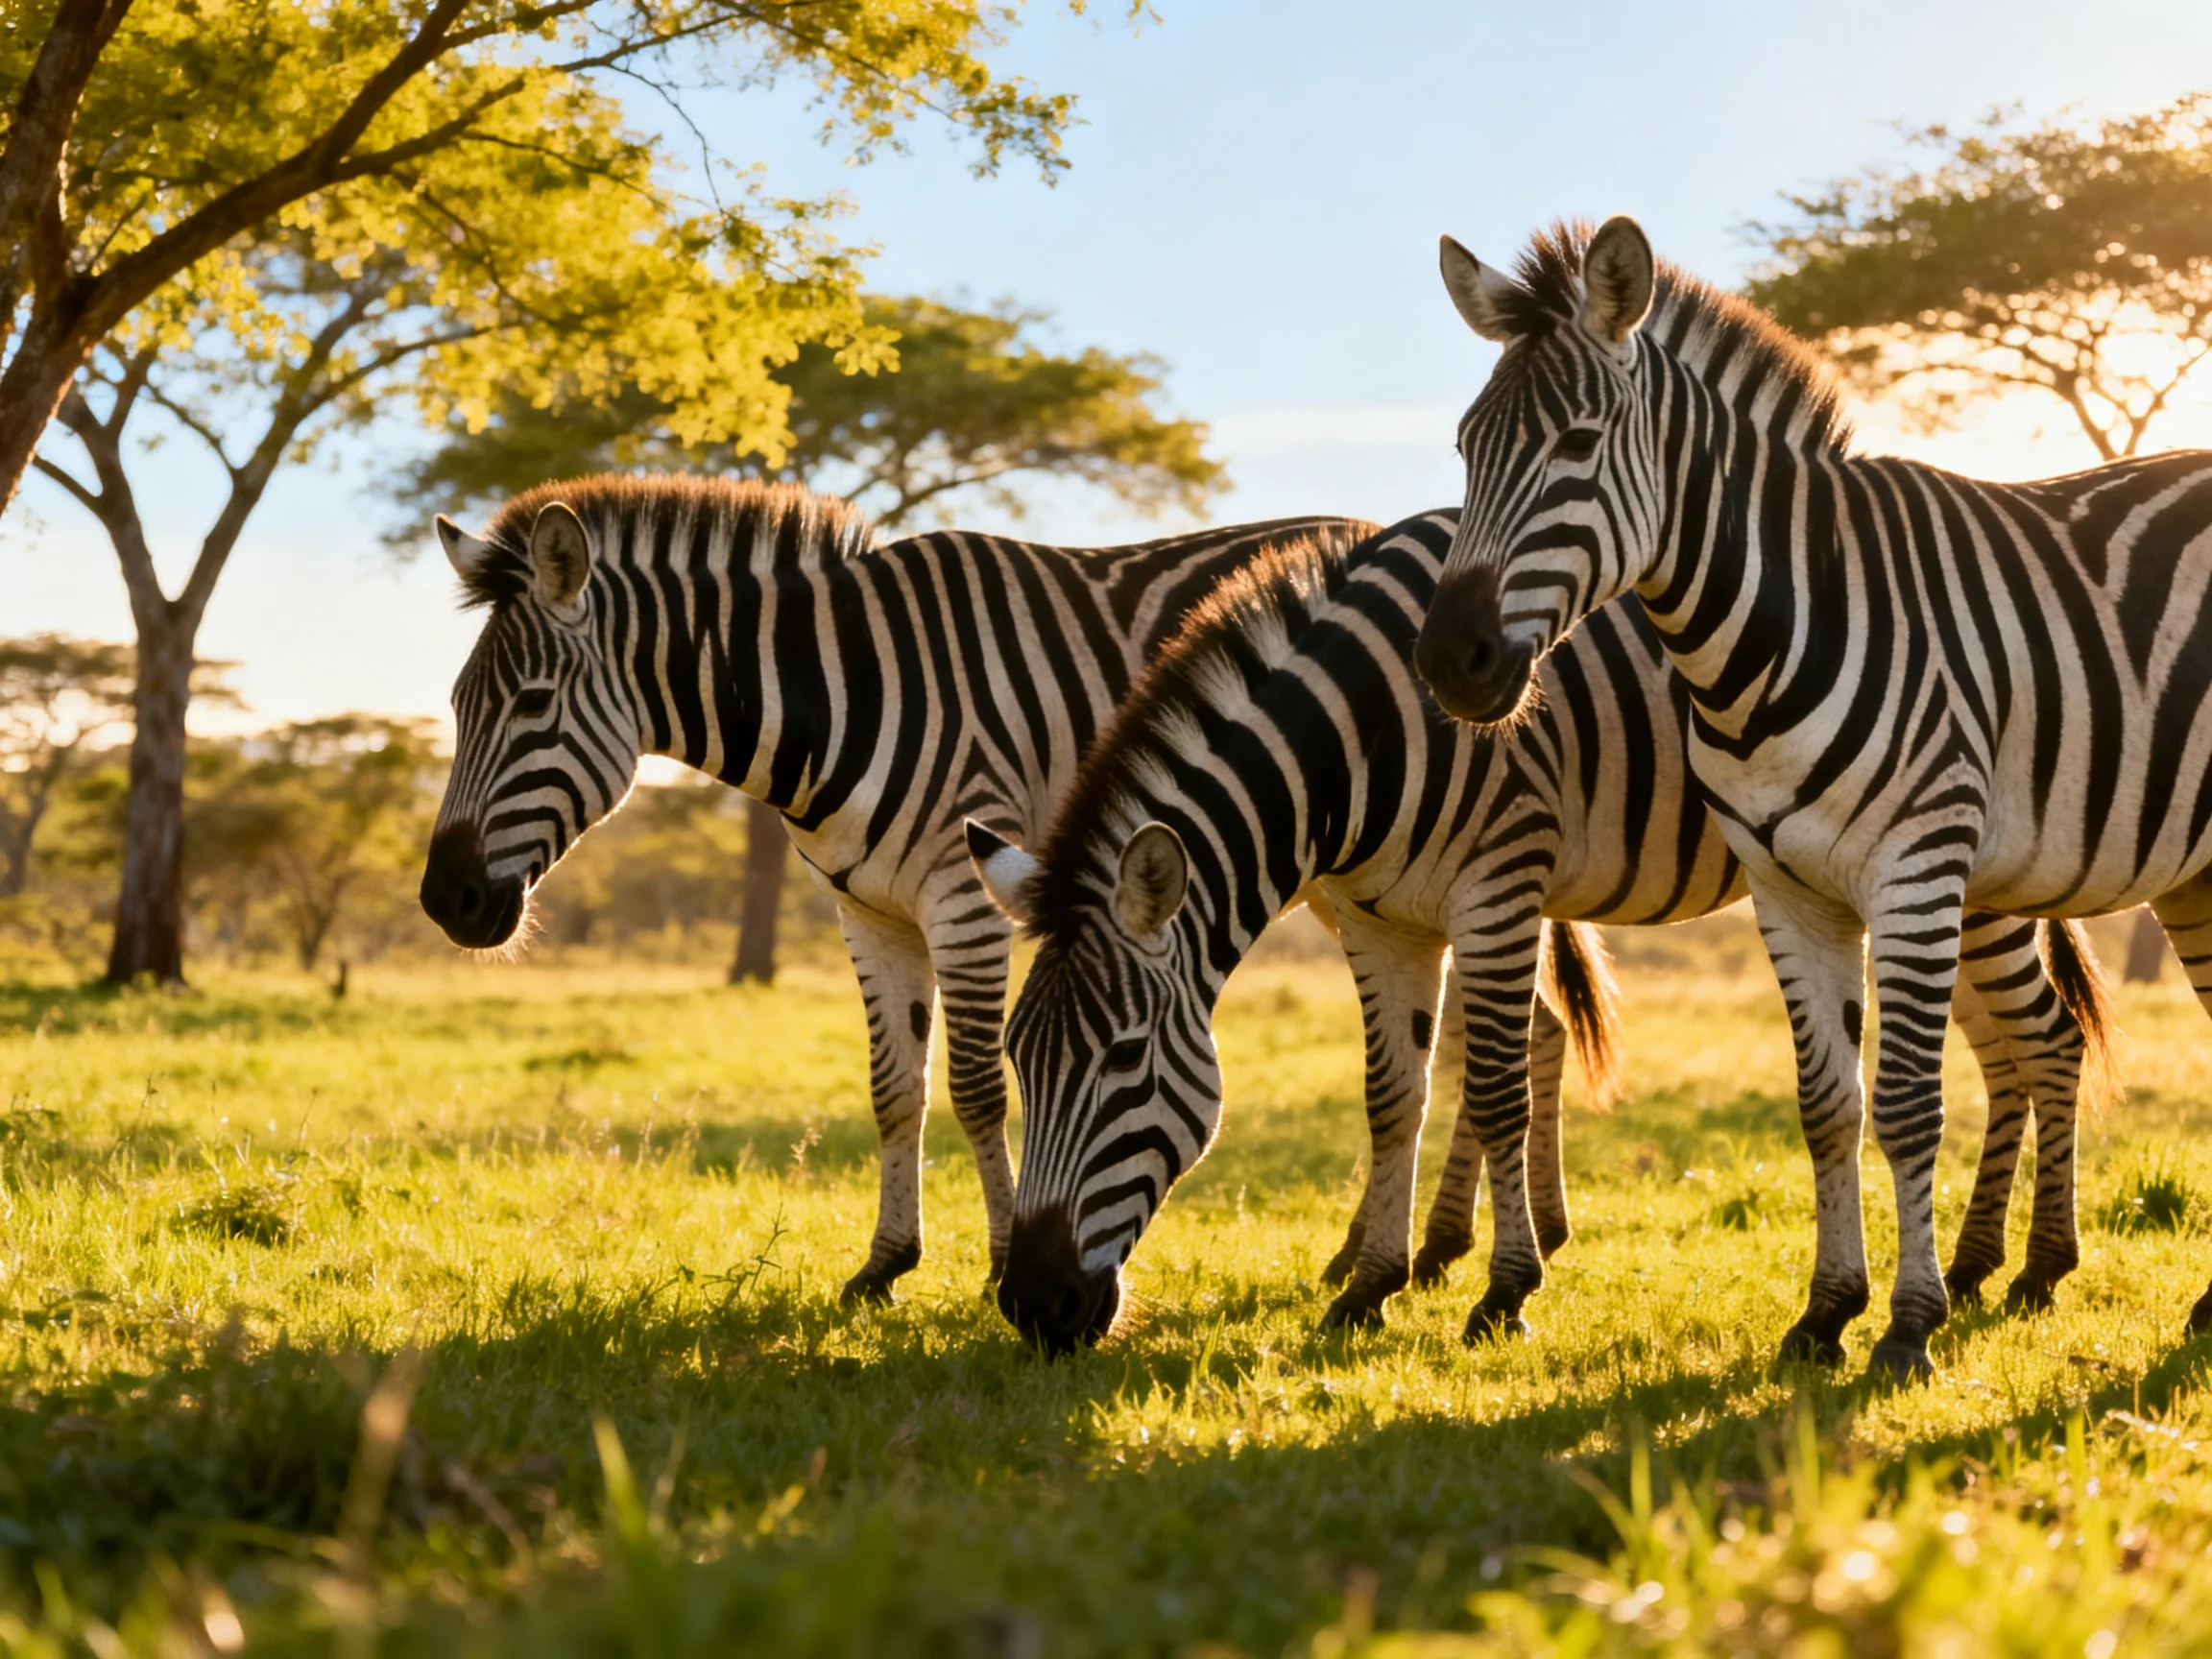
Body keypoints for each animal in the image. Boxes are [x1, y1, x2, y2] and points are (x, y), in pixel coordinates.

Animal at [416, 472, 1377, 1303]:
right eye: (457, 707)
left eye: (533, 703)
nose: (444, 902)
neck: (844, 696)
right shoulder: (867, 911)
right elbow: (893, 1089)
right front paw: (885, 1264)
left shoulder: (966, 897)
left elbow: (978, 1088)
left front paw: (997, 1267)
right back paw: (1357, 1257)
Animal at [967, 510, 2107, 1354]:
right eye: (1020, 1059)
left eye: (1124, 1060)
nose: (1033, 1306)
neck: (1365, 737)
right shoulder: (1381, 921)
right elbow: (1392, 1099)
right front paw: (1369, 1288)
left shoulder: (1499, 885)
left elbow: (1498, 1092)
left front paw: (1501, 1293)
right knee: (2008, 1055)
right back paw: (1976, 1263)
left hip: (1951, 870)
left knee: (2047, 1040)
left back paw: (2037, 1269)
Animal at [1414, 215, 2196, 1381]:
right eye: (1468, 448)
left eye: (1579, 444)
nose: (1447, 663)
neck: (1770, 632)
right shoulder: (1789, 889)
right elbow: (1827, 1105)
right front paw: (1827, 1314)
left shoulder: (1915, 871)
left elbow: (1909, 1104)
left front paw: (1910, 1326)